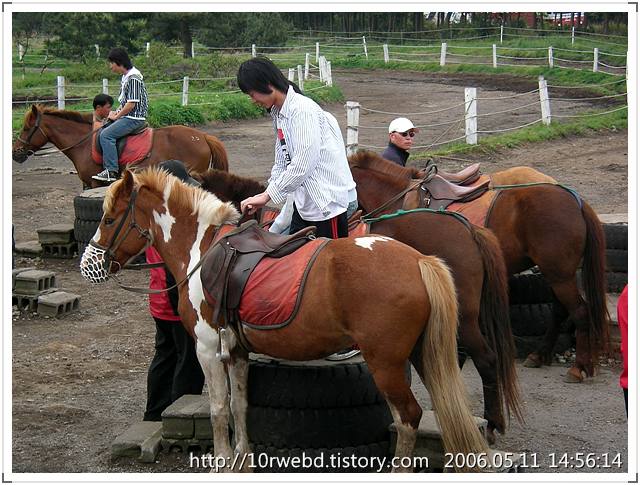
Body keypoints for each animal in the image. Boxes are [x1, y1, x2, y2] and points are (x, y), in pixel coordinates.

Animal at [350, 149, 608, 384]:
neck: (396, 197)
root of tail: (576, 201)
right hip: (556, 273)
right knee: (560, 310)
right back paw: (539, 355)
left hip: (559, 274)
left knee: (579, 311)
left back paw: (579, 367)